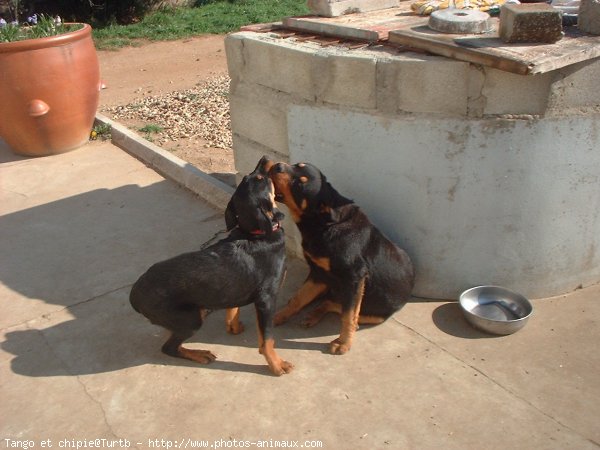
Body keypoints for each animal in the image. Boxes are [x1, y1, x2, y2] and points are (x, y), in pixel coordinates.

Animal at [129, 156, 292, 374]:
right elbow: (267, 339)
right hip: (190, 320)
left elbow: (232, 308)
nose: (265, 158)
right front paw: (276, 364)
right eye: (260, 178)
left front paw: (233, 327)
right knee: (169, 348)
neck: (255, 234)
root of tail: (134, 295)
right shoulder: (266, 299)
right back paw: (200, 354)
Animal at [270, 161, 414, 356]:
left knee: (344, 309)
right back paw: (313, 315)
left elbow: (348, 315)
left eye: (299, 185)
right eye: (296, 164)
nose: (277, 165)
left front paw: (343, 343)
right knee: (330, 302)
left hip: (375, 314)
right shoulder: (318, 273)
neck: (323, 224)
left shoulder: (354, 278)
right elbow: (298, 298)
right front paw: (279, 316)